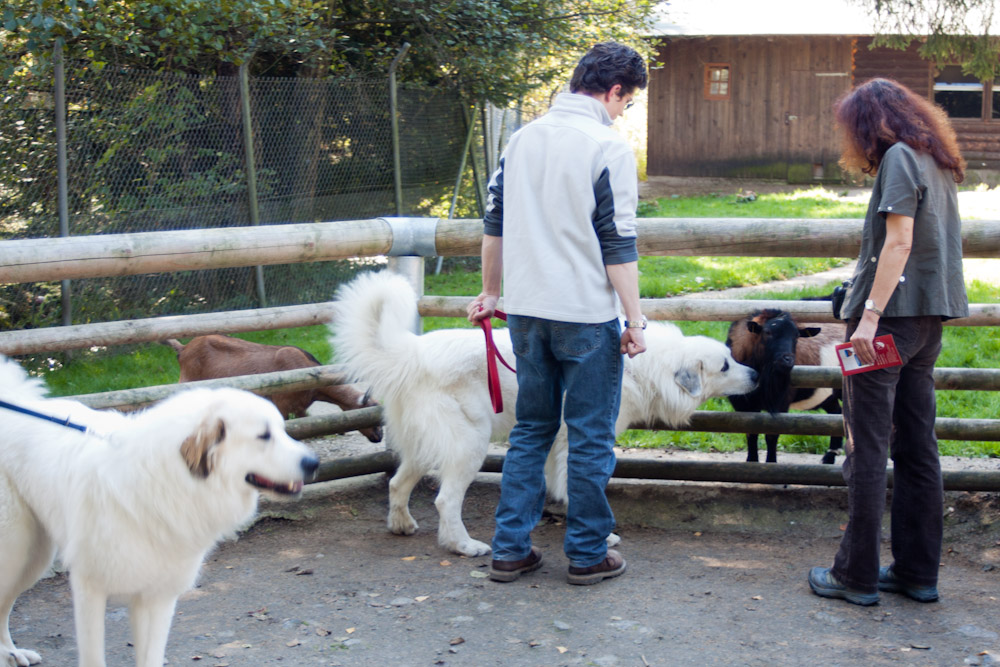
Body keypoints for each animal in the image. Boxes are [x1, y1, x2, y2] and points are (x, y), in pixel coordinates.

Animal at [0, 358, 318, 667]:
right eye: (263, 436)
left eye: (283, 430)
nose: (314, 462)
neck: (166, 481)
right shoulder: (89, 590)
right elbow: (94, 658)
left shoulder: (158, 597)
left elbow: (150, 656)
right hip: (17, 552)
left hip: (34, 557)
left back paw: (13, 654)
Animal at [330, 272, 756, 560]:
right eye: (724, 366)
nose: (754, 374)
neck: (646, 367)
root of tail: (413, 352)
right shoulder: (580, 439)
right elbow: (582, 485)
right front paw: (601, 536)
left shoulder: (555, 443)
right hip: (468, 444)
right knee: (445, 500)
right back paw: (464, 545)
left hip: (424, 444)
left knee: (397, 483)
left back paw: (402, 526)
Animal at [728, 310, 844, 462]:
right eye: (767, 332)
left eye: (796, 336)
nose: (788, 359)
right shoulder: (742, 403)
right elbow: (750, 432)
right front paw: (751, 461)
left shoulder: (781, 403)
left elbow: (772, 434)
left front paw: (771, 462)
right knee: (837, 413)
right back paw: (830, 456)